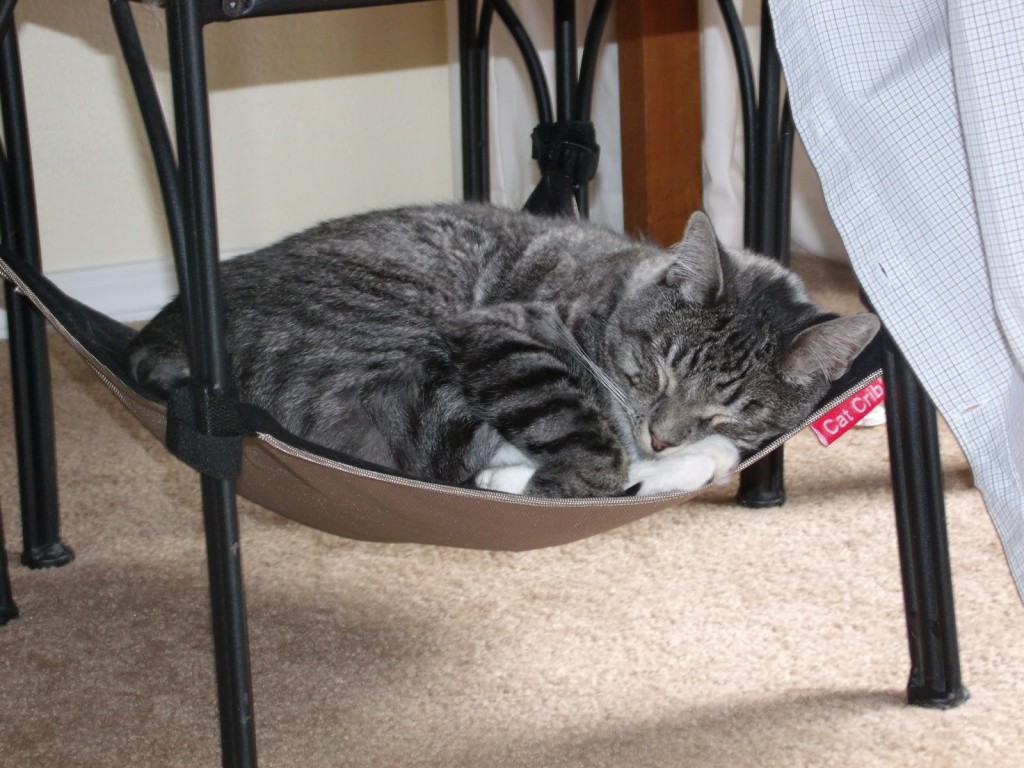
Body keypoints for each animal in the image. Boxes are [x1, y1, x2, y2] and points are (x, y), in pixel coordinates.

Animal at [128, 201, 880, 499]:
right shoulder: (502, 331)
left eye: (732, 407)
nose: (662, 437)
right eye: (658, 369)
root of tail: (165, 332)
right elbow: (598, 453)